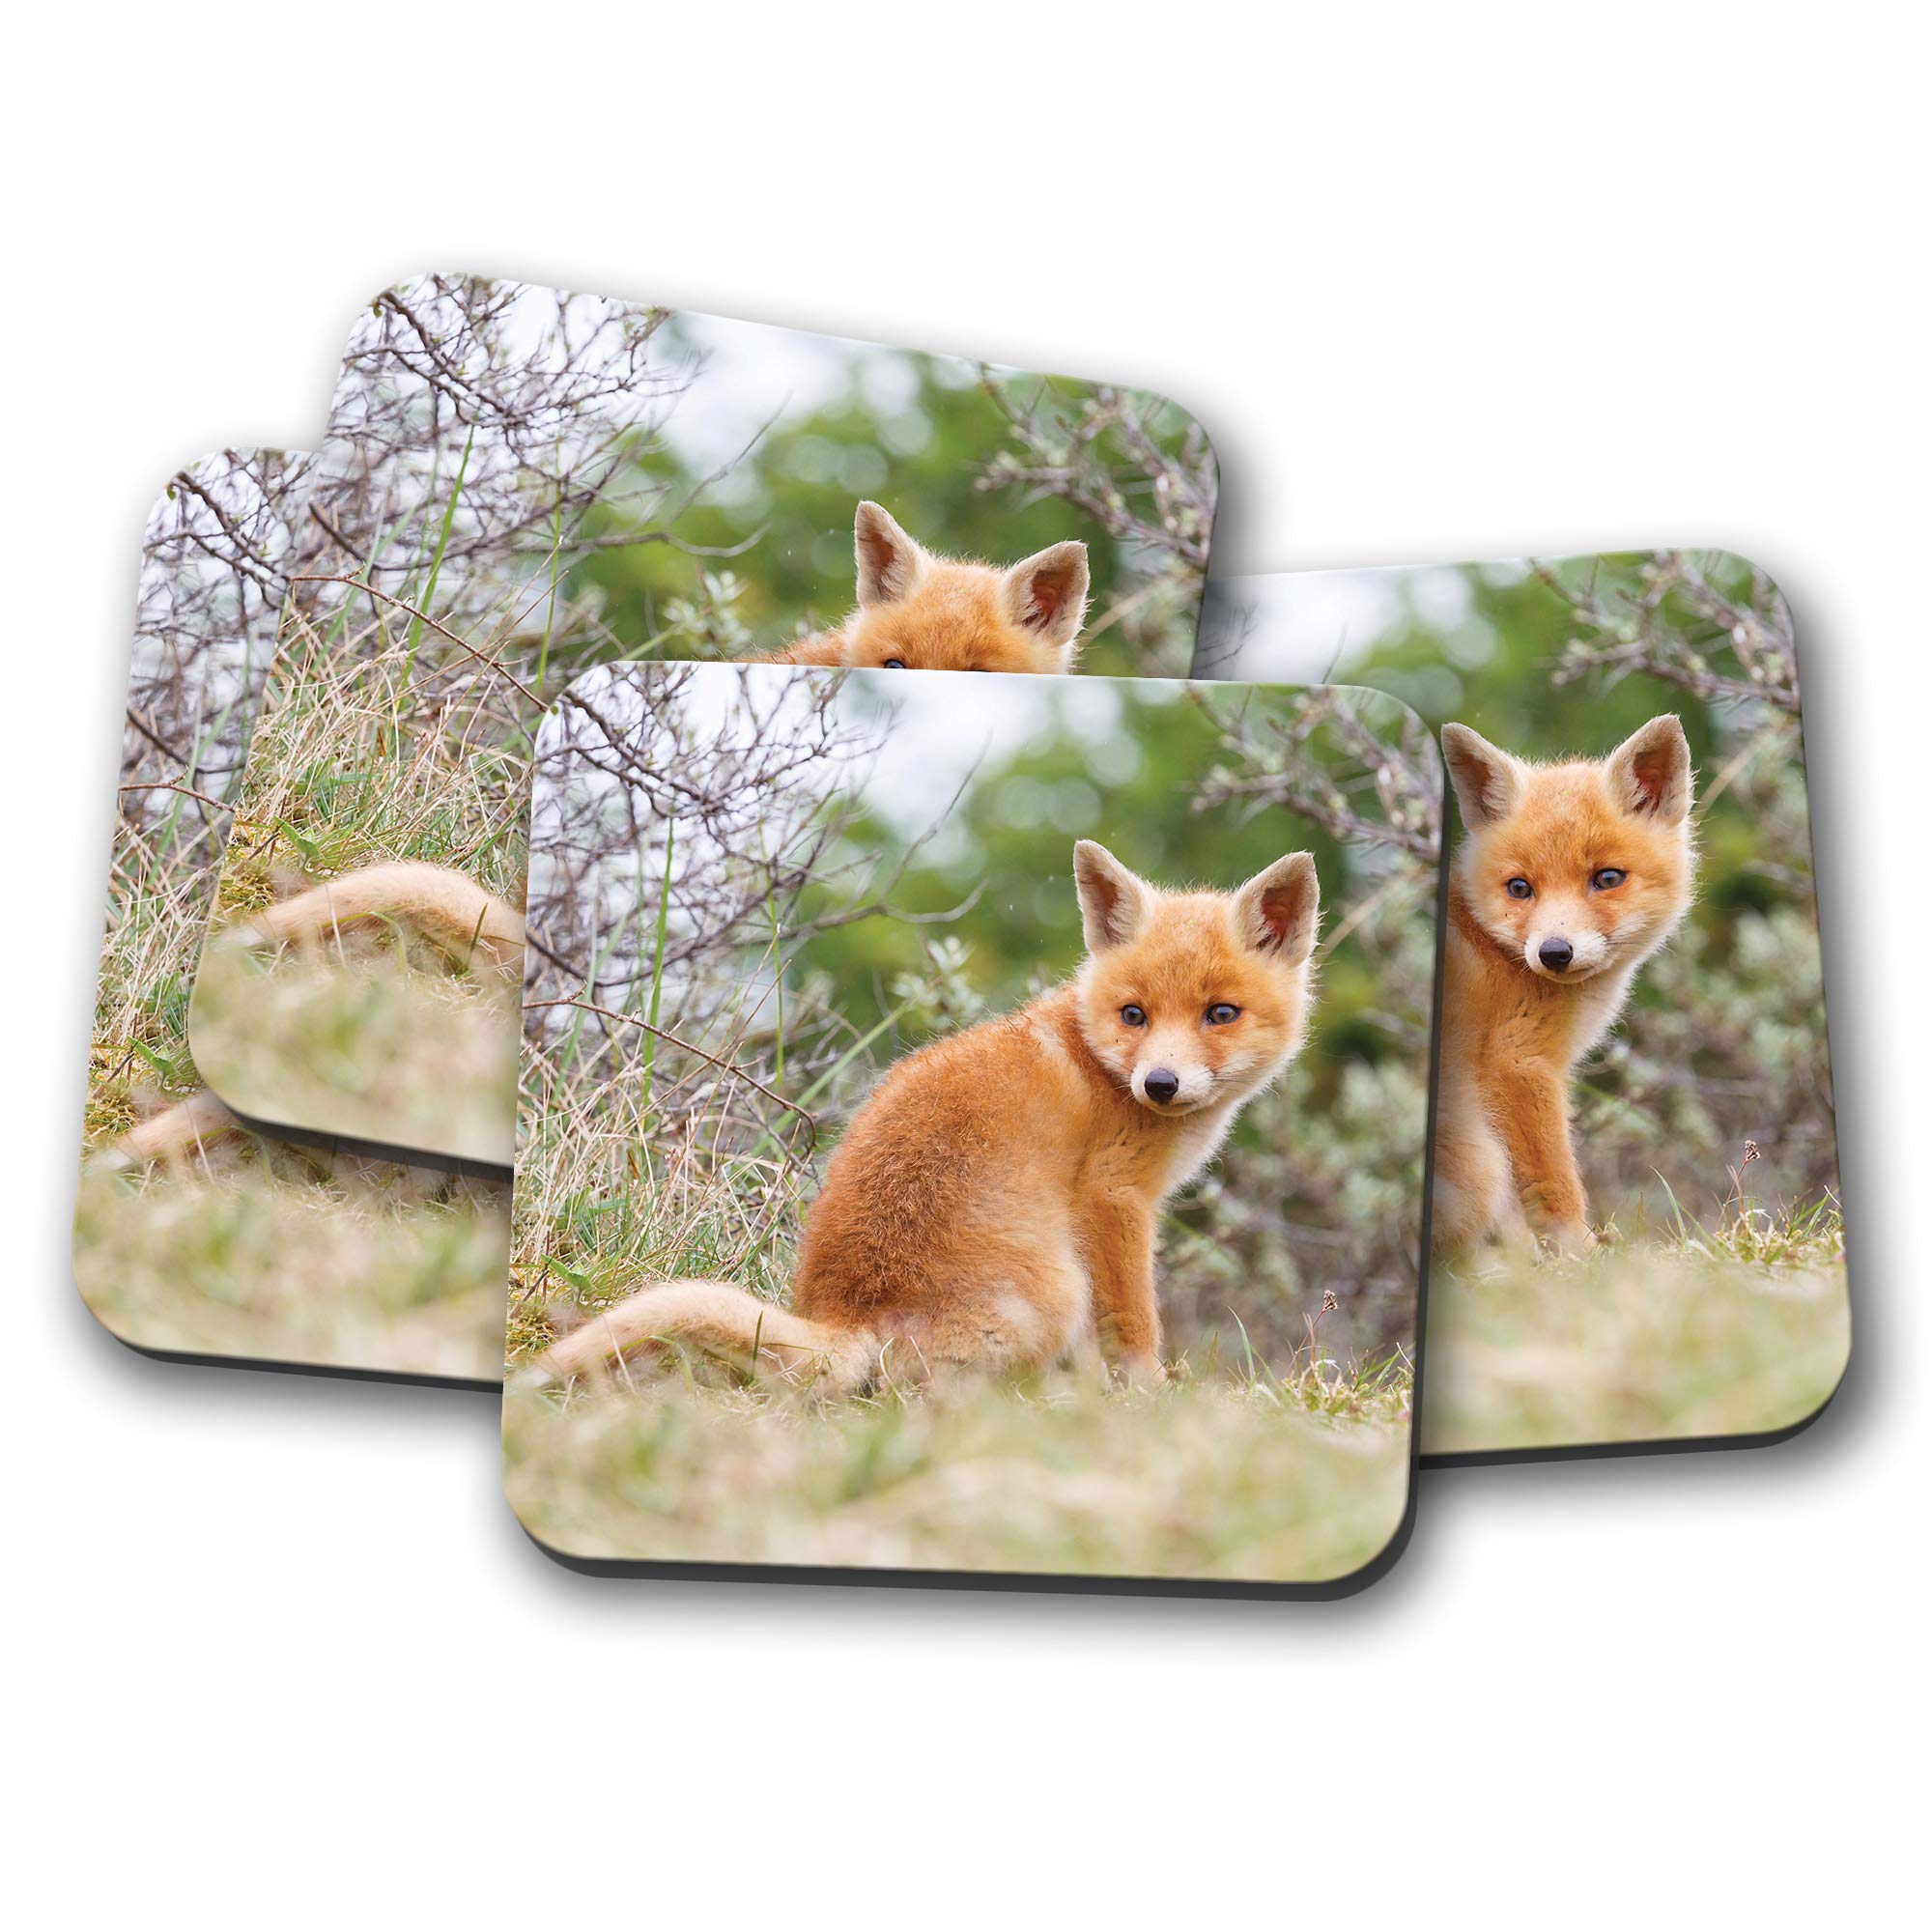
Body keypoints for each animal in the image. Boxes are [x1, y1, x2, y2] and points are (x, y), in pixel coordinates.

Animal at [534, 839, 1321, 1395]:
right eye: (1135, 1015)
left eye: (1220, 1014)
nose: (1159, 1083)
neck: (1098, 1062)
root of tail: (847, 1314)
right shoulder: (1114, 1200)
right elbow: (1134, 1323)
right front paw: (1152, 1394)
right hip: (1058, 1288)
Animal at [1432, 714, 1697, 1258]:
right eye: (1519, 888)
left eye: (1607, 878)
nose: (1554, 953)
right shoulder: (1519, 1064)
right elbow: (1554, 1184)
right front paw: (1582, 1257)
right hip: (1480, 1161)